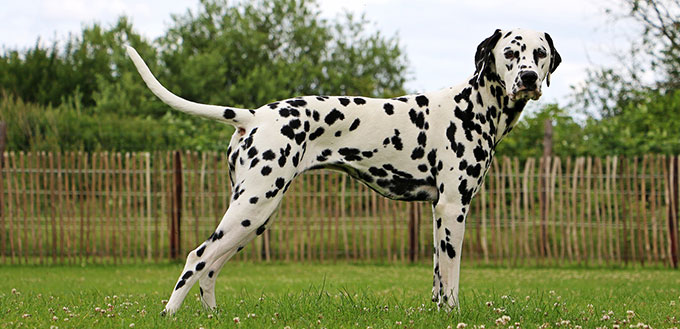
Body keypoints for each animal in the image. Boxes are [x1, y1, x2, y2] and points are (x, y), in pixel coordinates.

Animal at [125, 26, 560, 314]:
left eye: (539, 54)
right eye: (510, 54)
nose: (528, 77)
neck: (473, 107)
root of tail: (253, 115)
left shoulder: (439, 213)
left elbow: (438, 278)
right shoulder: (453, 209)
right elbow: (451, 281)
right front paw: (452, 315)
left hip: (255, 216)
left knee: (211, 267)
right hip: (252, 207)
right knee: (196, 258)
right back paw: (169, 315)